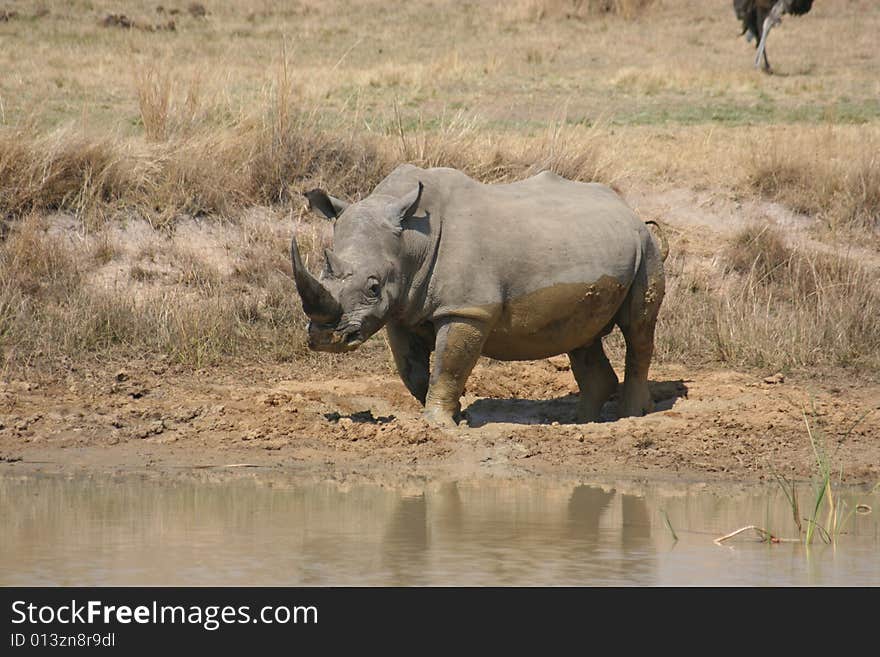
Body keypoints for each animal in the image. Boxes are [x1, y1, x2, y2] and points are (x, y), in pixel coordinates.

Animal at [290, 165, 668, 426]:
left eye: (373, 287)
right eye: (323, 273)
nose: (326, 339)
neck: (412, 240)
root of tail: (627, 207)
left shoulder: (467, 310)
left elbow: (449, 365)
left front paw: (439, 424)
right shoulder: (401, 310)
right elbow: (412, 371)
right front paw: (458, 416)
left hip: (645, 246)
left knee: (638, 328)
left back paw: (631, 415)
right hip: (589, 245)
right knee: (581, 336)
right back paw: (581, 422)